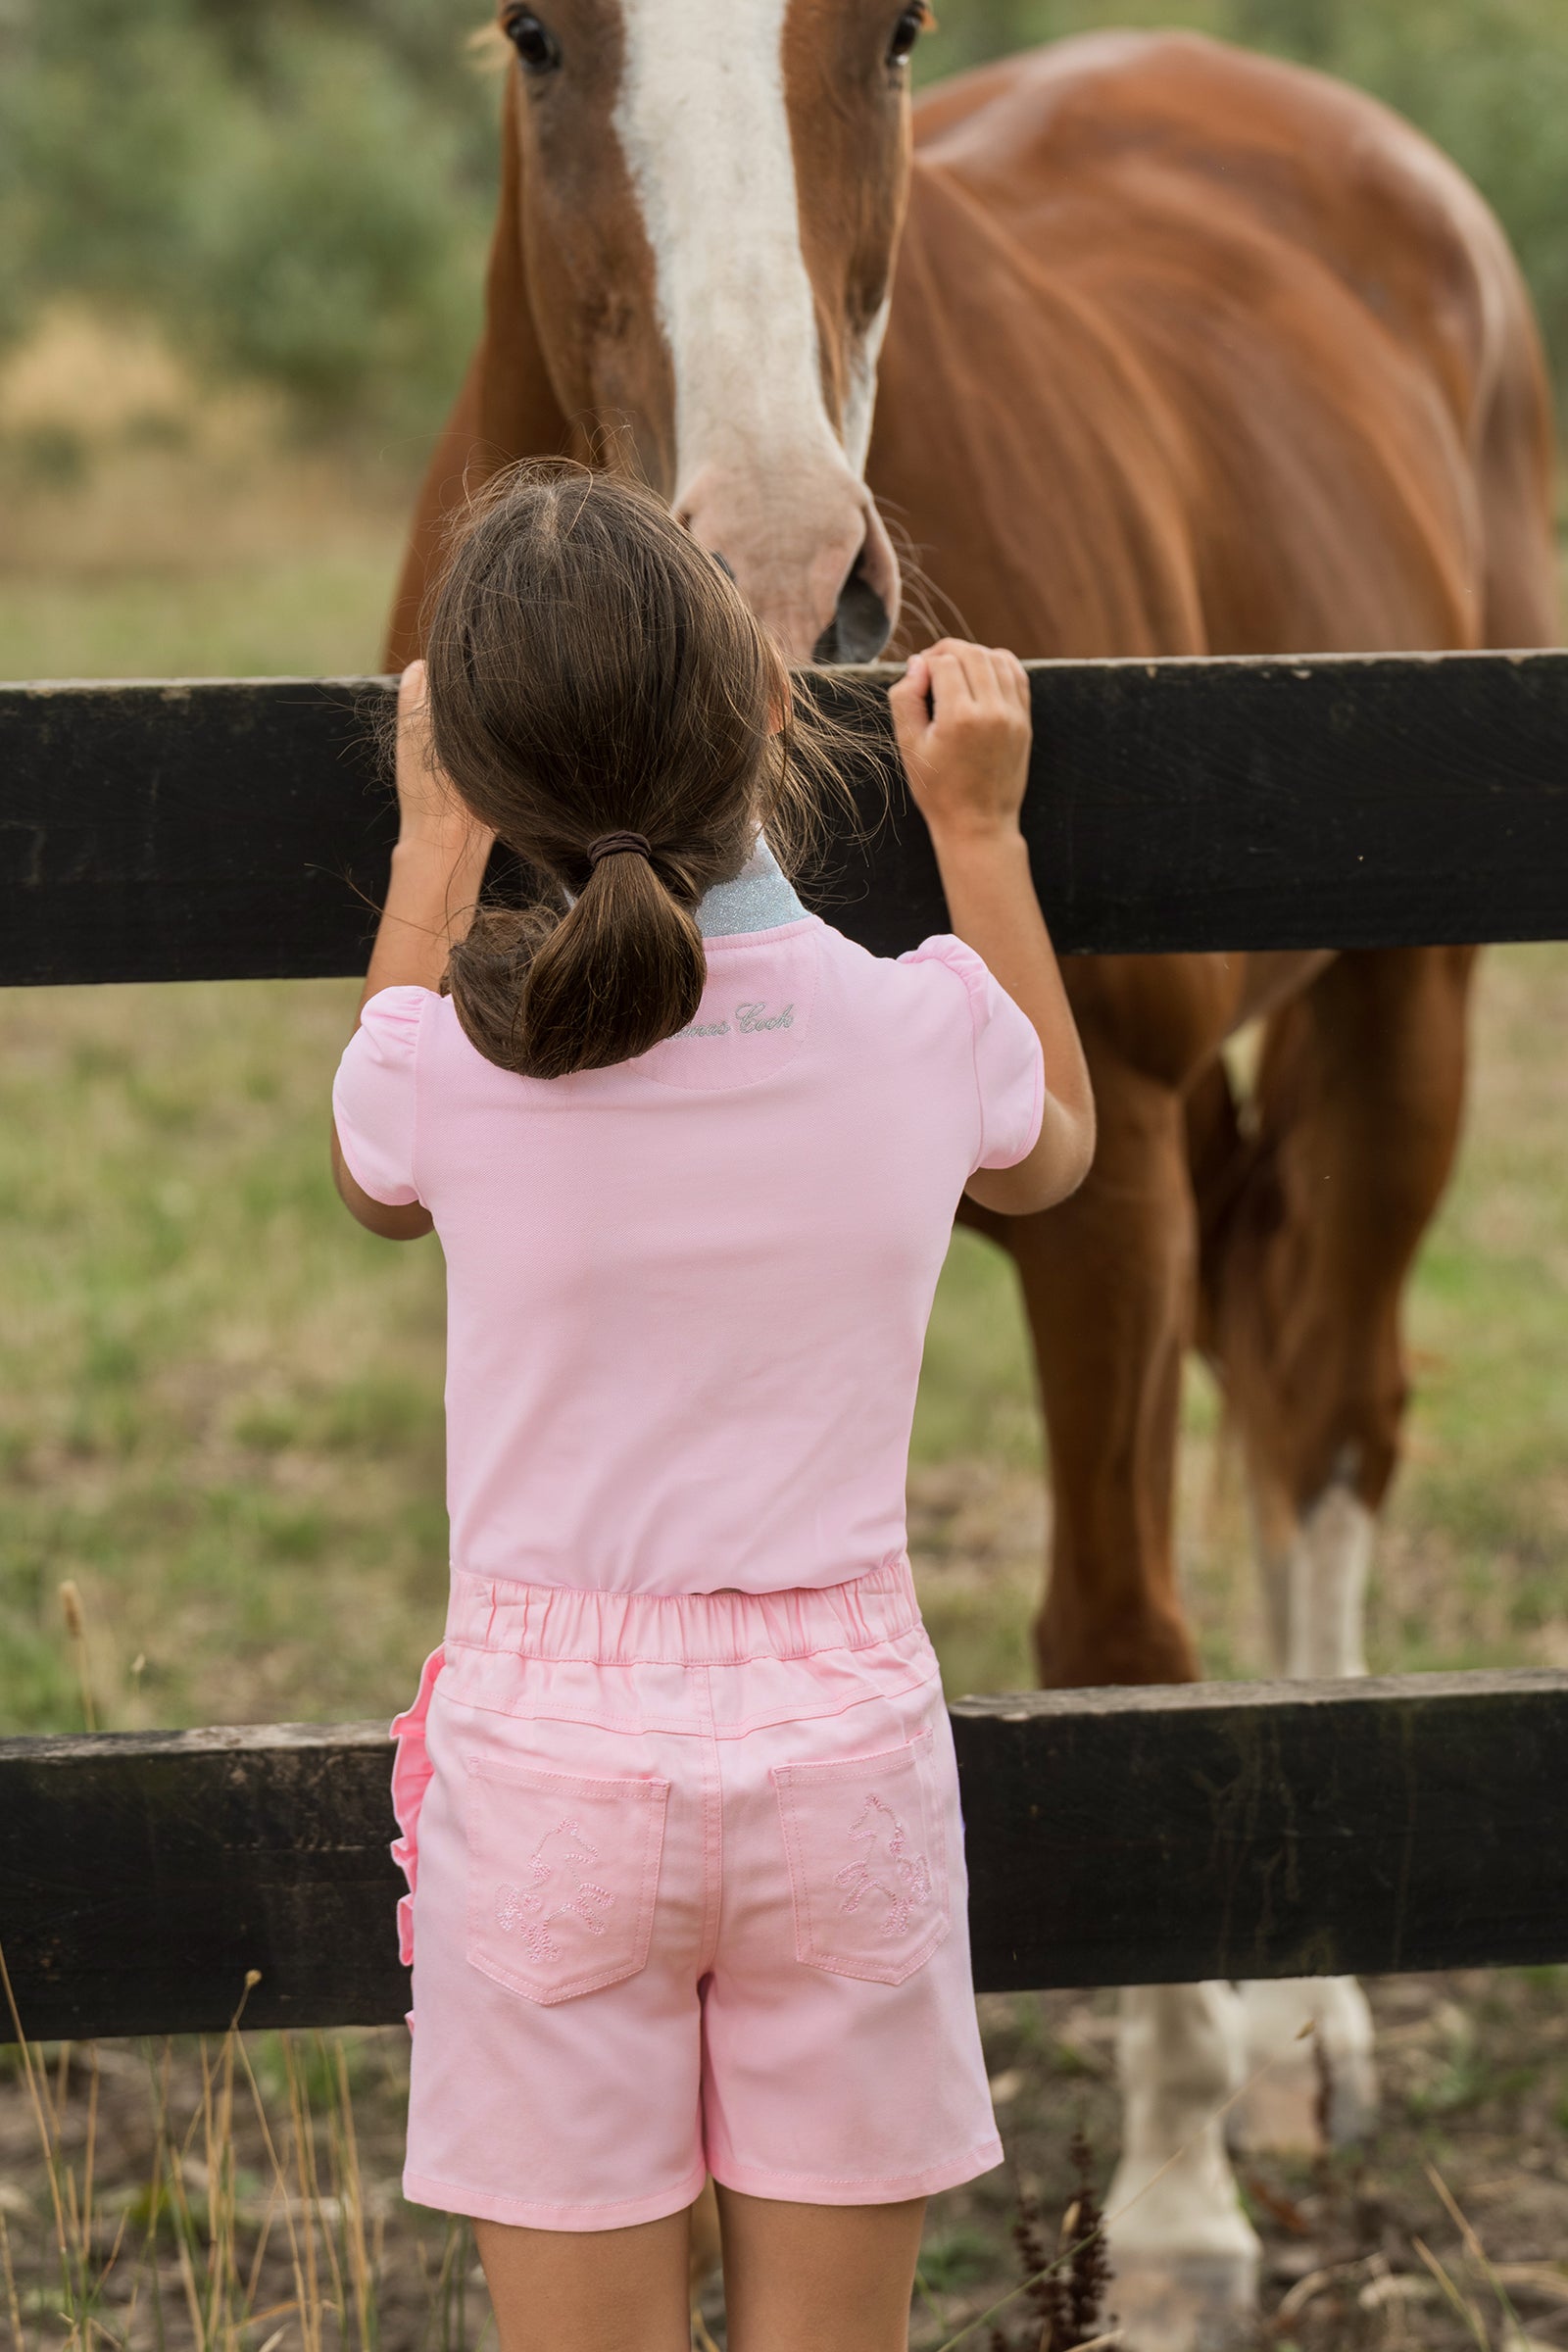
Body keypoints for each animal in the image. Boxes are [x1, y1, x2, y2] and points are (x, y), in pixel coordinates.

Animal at [387, 8, 1558, 2340]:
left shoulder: (1101, 1187)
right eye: (543, 37)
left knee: (1327, 1429)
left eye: (897, 32)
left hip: (1406, 1010)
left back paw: (1307, 2028)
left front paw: (1180, 2207)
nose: (776, 581)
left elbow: (1120, 1642)